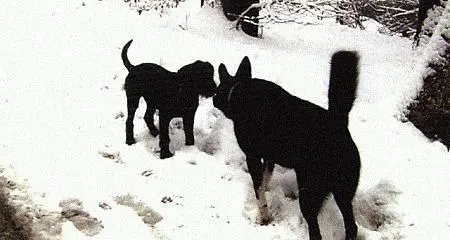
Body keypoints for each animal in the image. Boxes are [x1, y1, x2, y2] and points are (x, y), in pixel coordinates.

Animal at [214, 52, 362, 240]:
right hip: (343, 192)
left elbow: (259, 191)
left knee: (316, 230)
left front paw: (264, 216)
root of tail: (339, 125)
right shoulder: (269, 157)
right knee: (351, 226)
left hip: (309, 193)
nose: (213, 98)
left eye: (217, 90)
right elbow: (265, 179)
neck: (238, 88)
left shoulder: (252, 156)